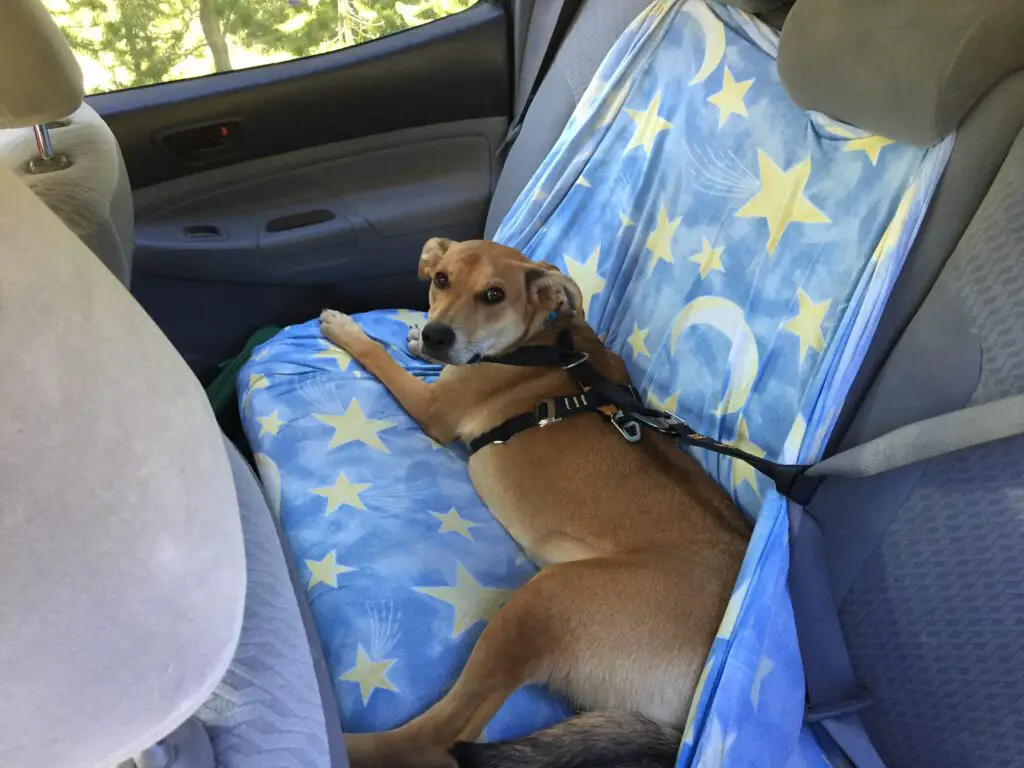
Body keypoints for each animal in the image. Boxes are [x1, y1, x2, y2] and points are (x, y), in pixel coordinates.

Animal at [319, 239, 753, 768]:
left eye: (494, 294)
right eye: (441, 279)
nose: (439, 335)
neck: (538, 342)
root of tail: (690, 720)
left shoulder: (433, 410)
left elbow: (378, 356)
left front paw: (347, 330)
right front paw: (416, 337)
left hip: (541, 604)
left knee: (436, 736)